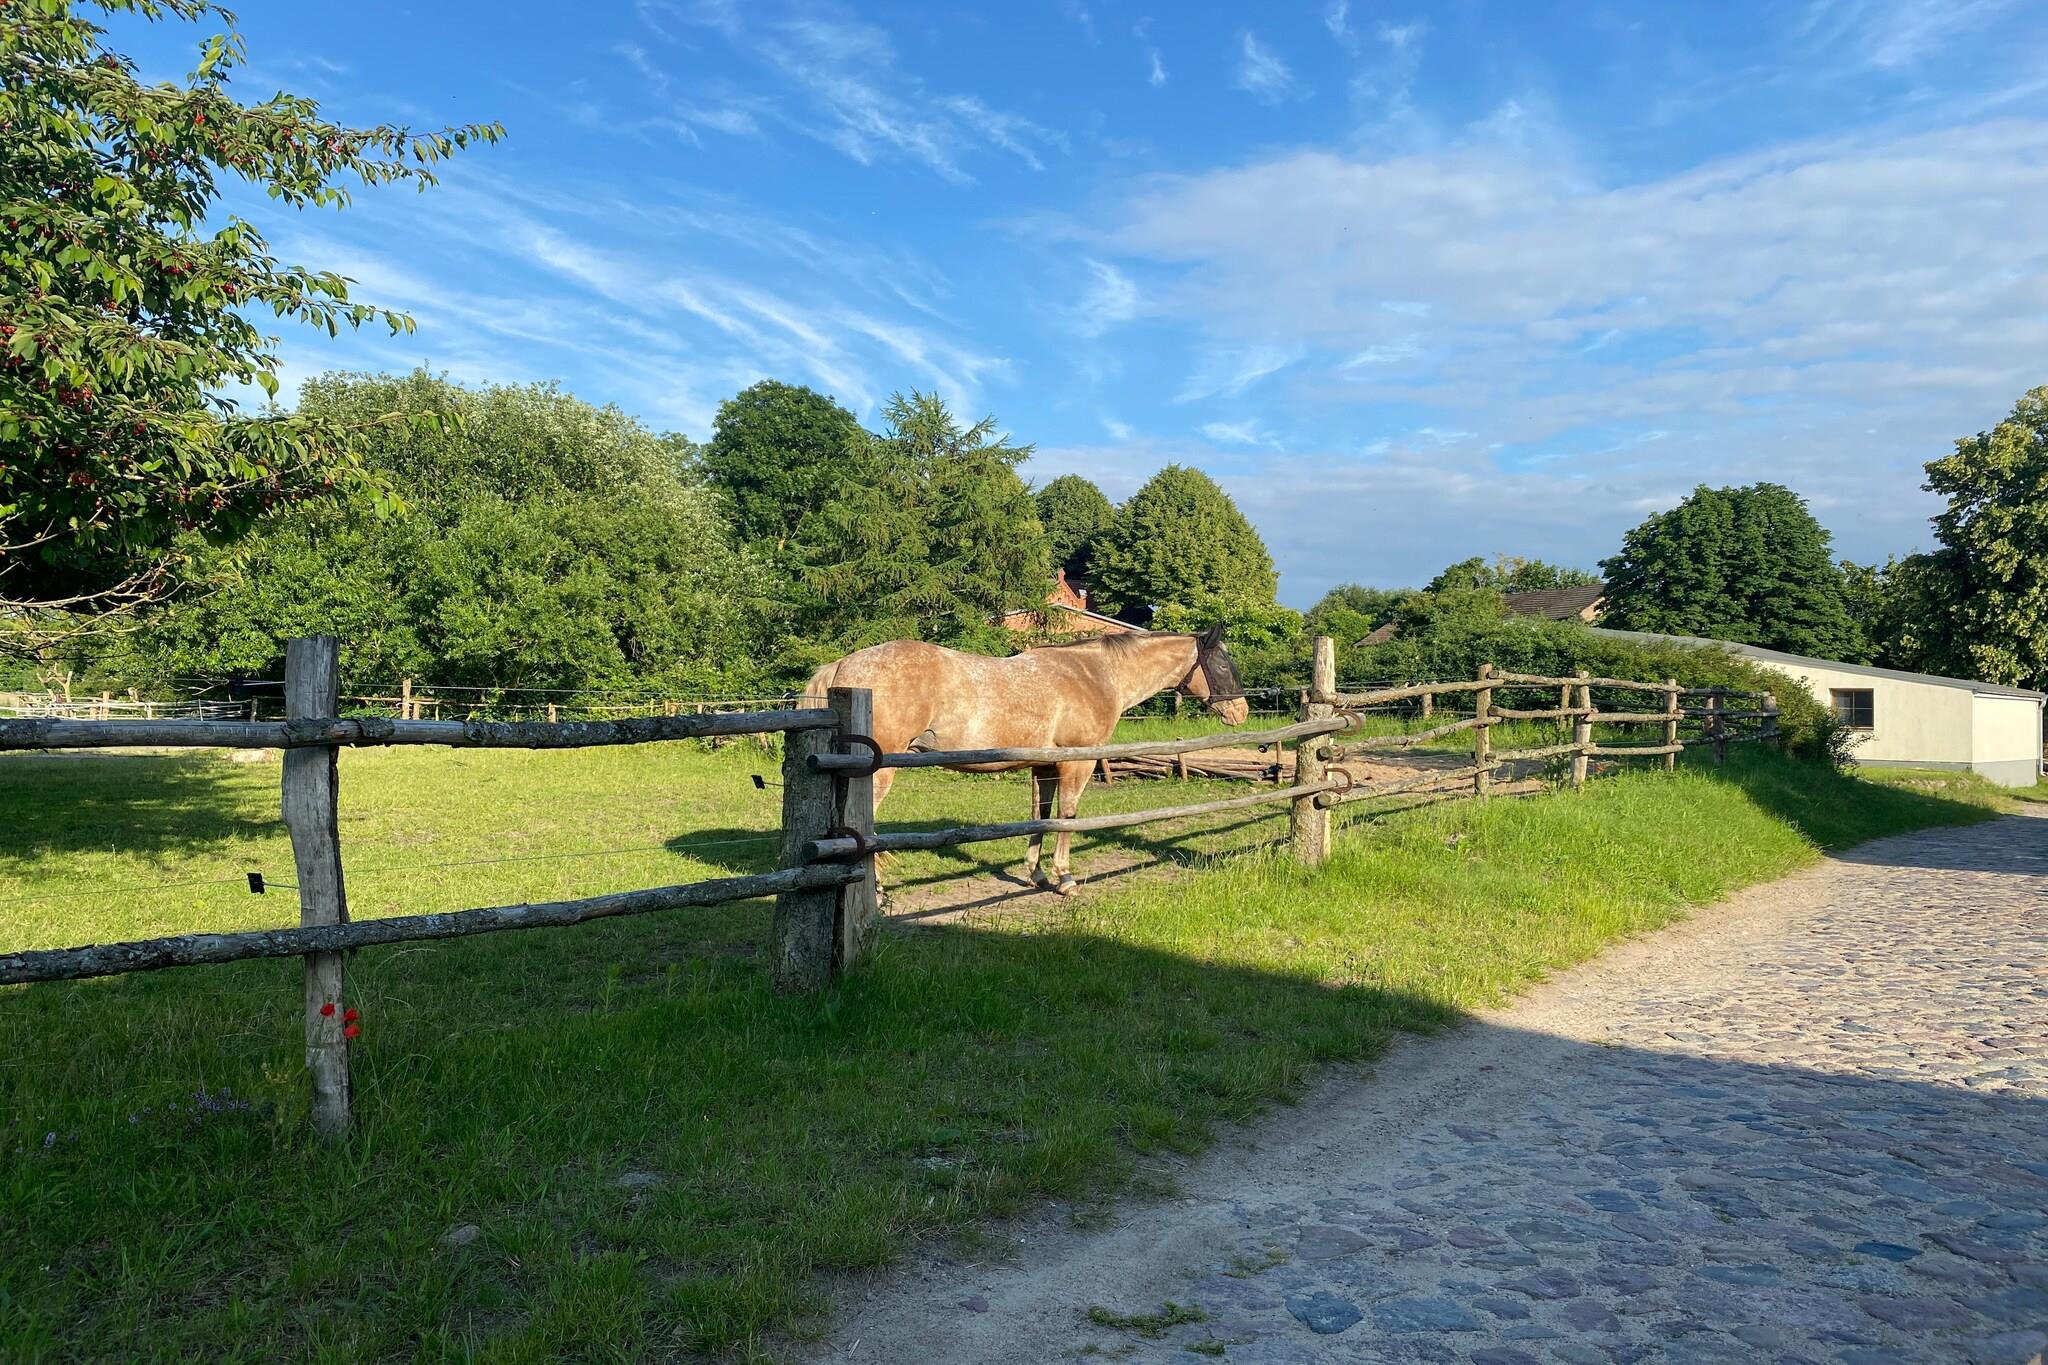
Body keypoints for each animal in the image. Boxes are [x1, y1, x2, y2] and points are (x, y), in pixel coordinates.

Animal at [804, 627, 1249, 894]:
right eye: (1222, 663)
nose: (1241, 711)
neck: (1093, 674)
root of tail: (842, 665)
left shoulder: (1043, 766)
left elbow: (1041, 815)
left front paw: (1036, 873)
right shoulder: (1075, 763)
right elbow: (1068, 815)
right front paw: (1064, 878)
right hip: (878, 771)